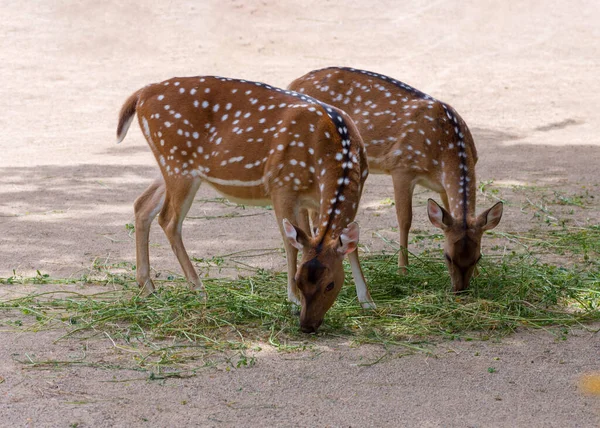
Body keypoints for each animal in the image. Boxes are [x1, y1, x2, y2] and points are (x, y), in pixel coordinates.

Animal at [116, 75, 376, 332]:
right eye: (298, 280)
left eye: (330, 284)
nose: (307, 325)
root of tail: (141, 94)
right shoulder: (281, 185)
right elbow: (290, 244)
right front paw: (292, 301)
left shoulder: (315, 200)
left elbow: (349, 246)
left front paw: (367, 301)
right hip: (177, 163)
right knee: (169, 220)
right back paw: (198, 289)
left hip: (169, 166)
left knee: (142, 205)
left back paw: (148, 287)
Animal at [288, 68, 504, 292]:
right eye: (447, 256)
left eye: (478, 257)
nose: (460, 289)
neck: (445, 146)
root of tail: (293, 82)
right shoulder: (401, 167)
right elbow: (405, 219)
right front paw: (403, 270)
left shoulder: (442, 187)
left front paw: (479, 275)